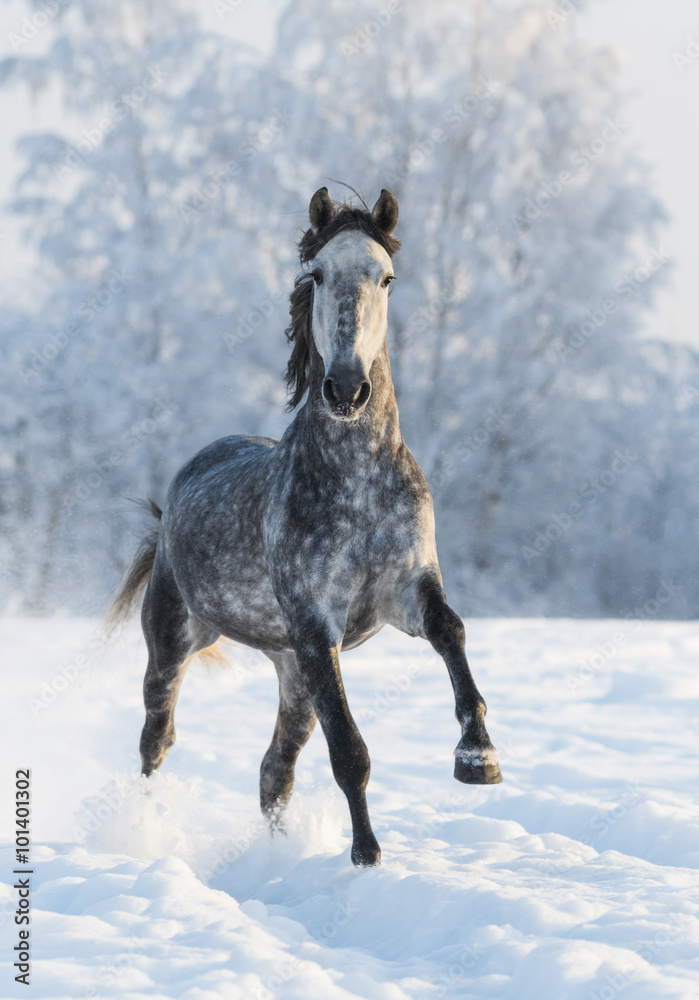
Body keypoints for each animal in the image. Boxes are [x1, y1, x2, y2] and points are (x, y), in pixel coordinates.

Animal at [108, 186, 502, 867]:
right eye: (316, 275)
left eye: (387, 277)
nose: (346, 388)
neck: (358, 484)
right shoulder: (318, 626)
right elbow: (350, 752)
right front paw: (367, 855)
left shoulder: (404, 592)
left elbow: (451, 631)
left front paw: (478, 756)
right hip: (178, 642)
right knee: (156, 739)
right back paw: (146, 829)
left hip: (291, 673)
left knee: (275, 770)